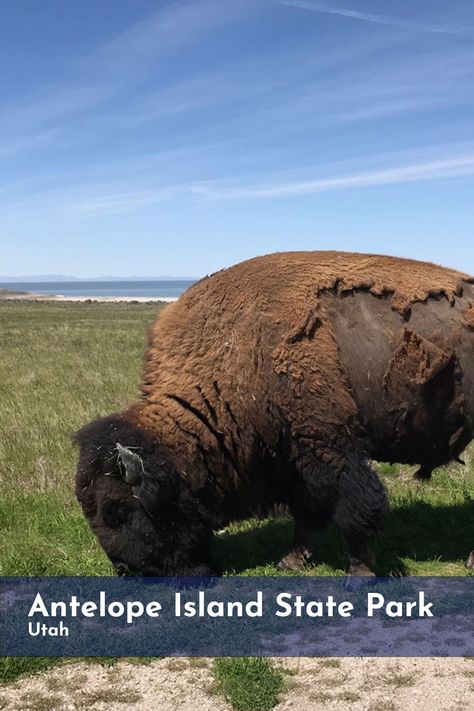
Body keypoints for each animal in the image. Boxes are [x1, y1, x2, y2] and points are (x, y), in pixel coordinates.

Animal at [75, 253, 474, 580]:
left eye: (117, 510)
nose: (126, 569)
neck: (239, 352)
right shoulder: (291, 458)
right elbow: (307, 513)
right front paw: (291, 560)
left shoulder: (329, 448)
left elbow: (355, 508)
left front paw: (359, 574)